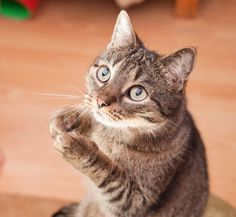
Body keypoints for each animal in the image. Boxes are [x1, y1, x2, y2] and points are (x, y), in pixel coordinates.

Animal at [49, 11, 208, 217]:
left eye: (137, 93)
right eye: (104, 73)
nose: (100, 101)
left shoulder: (133, 202)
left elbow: (108, 173)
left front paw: (77, 148)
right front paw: (69, 118)